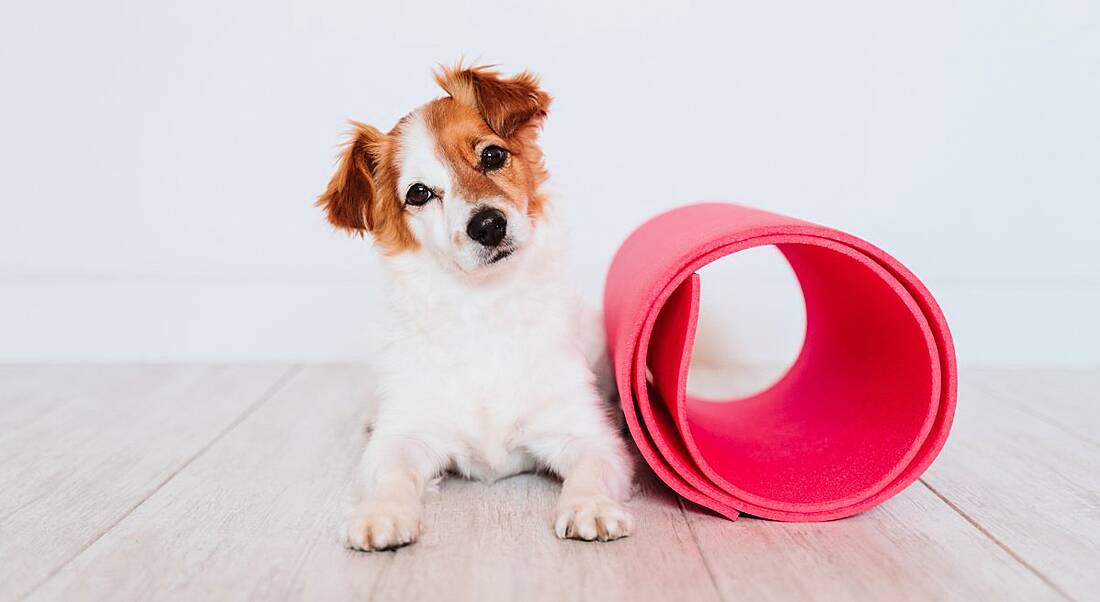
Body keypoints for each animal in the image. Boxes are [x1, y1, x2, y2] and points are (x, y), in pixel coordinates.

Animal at [316, 64, 638, 550]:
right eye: (418, 193)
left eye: (491, 155)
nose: (487, 225)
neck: (482, 305)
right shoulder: (406, 436)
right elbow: (390, 471)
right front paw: (382, 512)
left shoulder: (586, 434)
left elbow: (592, 469)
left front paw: (590, 505)